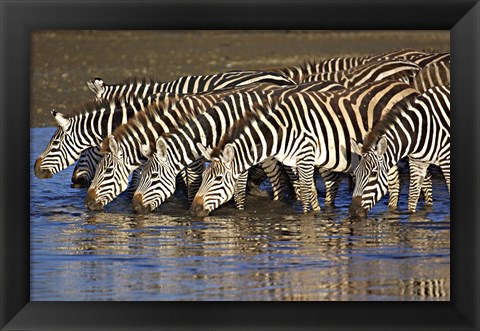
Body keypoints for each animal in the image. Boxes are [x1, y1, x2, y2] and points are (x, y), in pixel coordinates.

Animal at [129, 80, 346, 215]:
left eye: (154, 176)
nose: (135, 208)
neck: (219, 125)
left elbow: (238, 188)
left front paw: (239, 215)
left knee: (331, 179)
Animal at [191, 79, 420, 217]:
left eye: (218, 179)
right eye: (203, 177)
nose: (194, 209)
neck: (281, 131)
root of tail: (406, 85)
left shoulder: (306, 155)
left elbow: (305, 190)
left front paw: (307, 219)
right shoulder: (296, 160)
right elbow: (308, 190)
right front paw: (317, 214)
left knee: (399, 182)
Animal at [348, 85, 450, 218]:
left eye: (373, 174)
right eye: (355, 173)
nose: (353, 212)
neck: (417, 131)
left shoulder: (447, 160)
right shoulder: (417, 163)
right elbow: (412, 196)